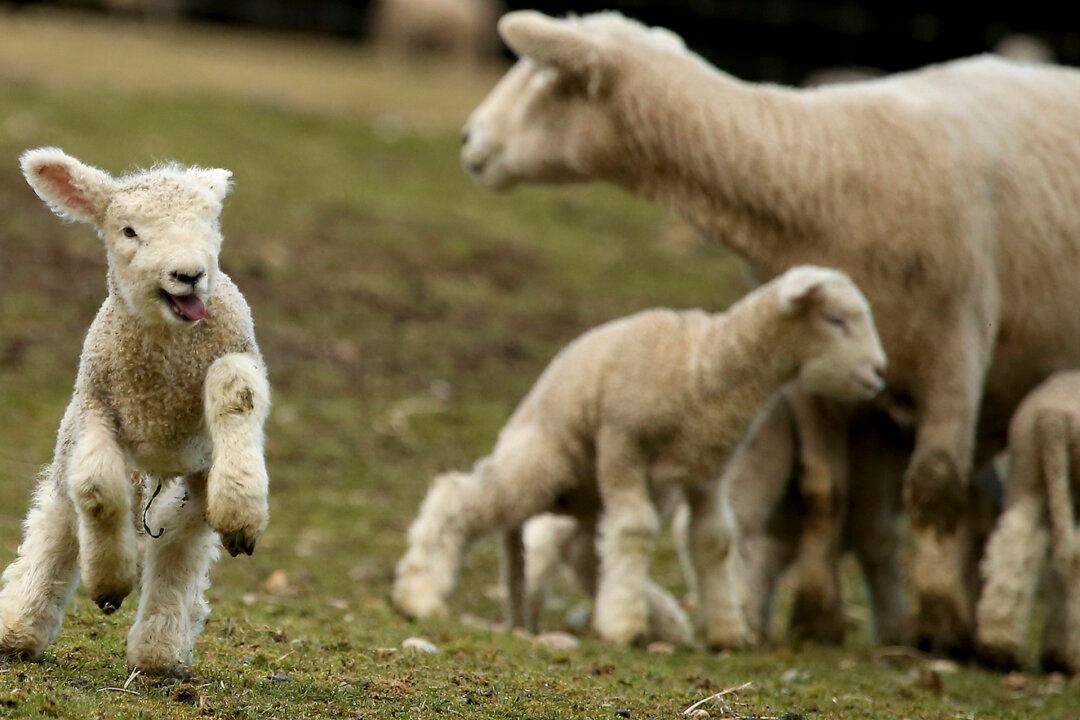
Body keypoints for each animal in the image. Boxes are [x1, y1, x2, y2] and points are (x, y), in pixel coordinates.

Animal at [0, 148, 270, 678]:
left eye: (209, 221)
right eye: (128, 231)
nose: (189, 275)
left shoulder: (234, 353)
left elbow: (236, 391)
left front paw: (242, 512)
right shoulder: (95, 407)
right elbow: (96, 490)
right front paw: (109, 581)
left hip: (195, 472)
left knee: (180, 543)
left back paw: (159, 651)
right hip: (77, 439)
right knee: (61, 520)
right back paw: (19, 629)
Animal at [394, 265, 886, 648]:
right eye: (837, 319)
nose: (880, 373)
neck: (703, 367)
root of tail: (529, 403)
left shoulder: (707, 473)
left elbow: (713, 540)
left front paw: (727, 631)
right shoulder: (621, 445)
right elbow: (635, 530)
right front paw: (622, 626)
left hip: (597, 494)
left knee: (583, 550)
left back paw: (662, 619)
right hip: (548, 463)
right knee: (462, 496)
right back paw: (420, 592)